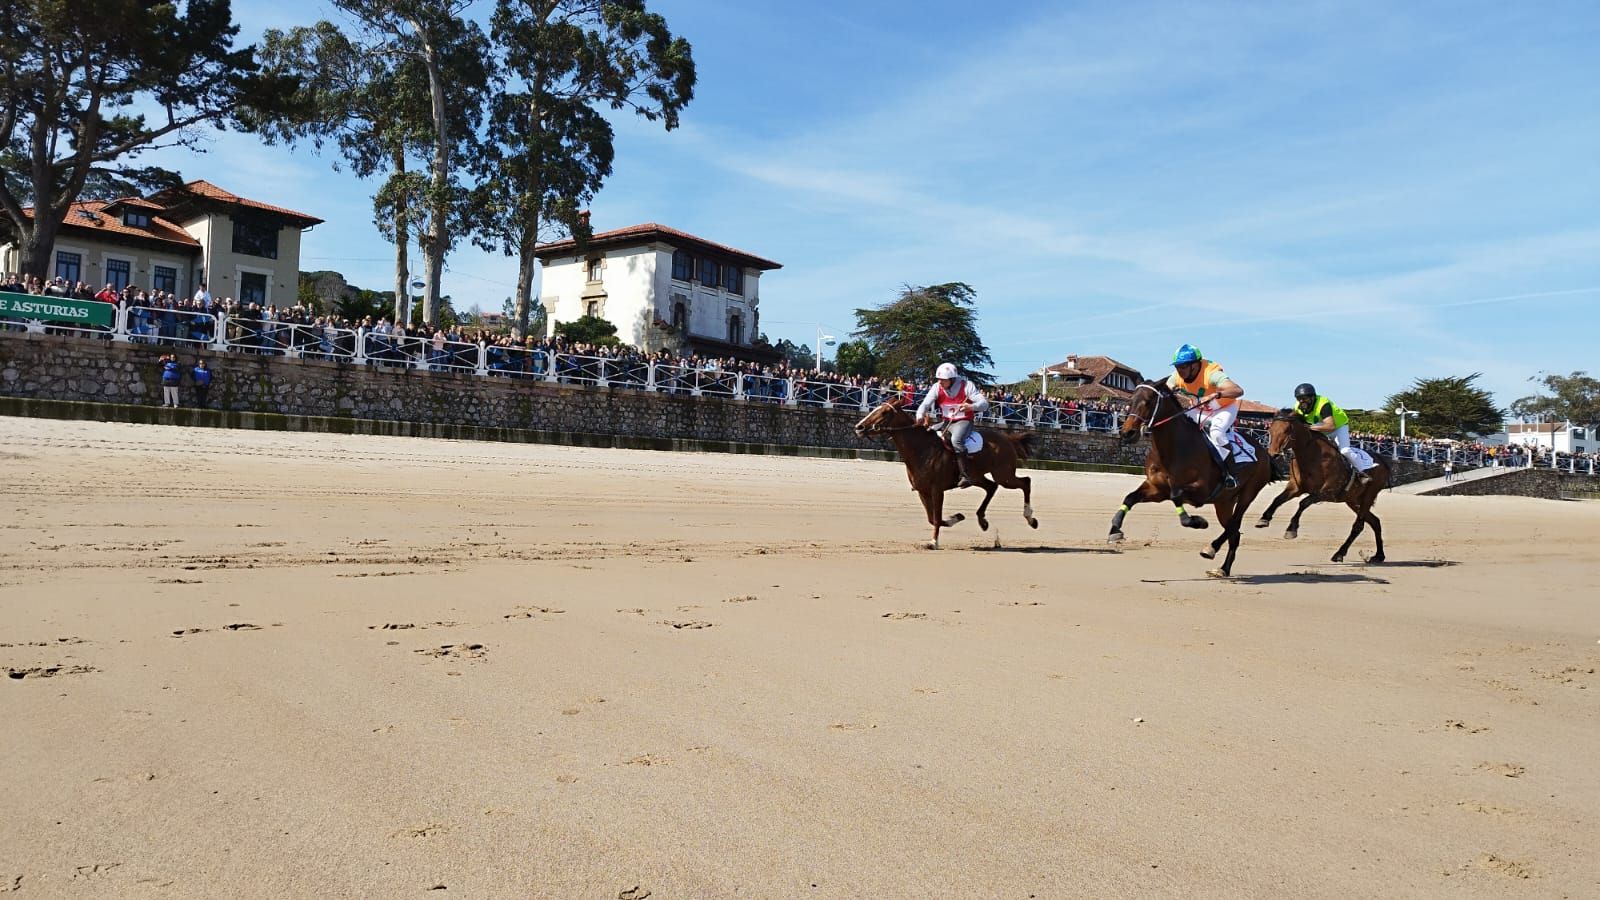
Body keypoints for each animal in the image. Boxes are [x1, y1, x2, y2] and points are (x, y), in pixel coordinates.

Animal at [857, 398, 1043, 547]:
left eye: (885, 412)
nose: (859, 427)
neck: (922, 449)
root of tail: (1008, 438)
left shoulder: (937, 490)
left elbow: (936, 518)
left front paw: (933, 542)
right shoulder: (923, 492)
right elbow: (933, 519)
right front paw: (957, 517)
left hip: (1004, 475)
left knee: (1025, 482)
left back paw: (1030, 518)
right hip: (977, 476)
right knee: (991, 487)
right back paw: (982, 520)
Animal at [1113, 377, 1273, 573]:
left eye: (1148, 401)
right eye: (1130, 401)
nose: (1127, 432)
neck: (1173, 448)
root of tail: (1264, 452)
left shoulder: (1201, 491)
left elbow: (1176, 495)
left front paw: (1196, 521)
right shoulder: (1157, 489)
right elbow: (1130, 497)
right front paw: (1115, 530)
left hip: (1248, 494)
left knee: (1235, 525)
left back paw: (1214, 552)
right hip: (1224, 502)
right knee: (1234, 533)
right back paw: (1221, 565)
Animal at [1260, 408, 1388, 560]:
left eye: (1286, 430)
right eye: (1271, 430)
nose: (1272, 454)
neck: (1312, 456)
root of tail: (1382, 460)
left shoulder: (1327, 492)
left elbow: (1303, 503)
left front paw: (1291, 529)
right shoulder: (1296, 488)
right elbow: (1278, 499)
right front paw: (1264, 519)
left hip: (1368, 496)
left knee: (1359, 525)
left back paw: (1339, 553)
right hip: (1353, 500)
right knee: (1375, 521)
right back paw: (1379, 555)